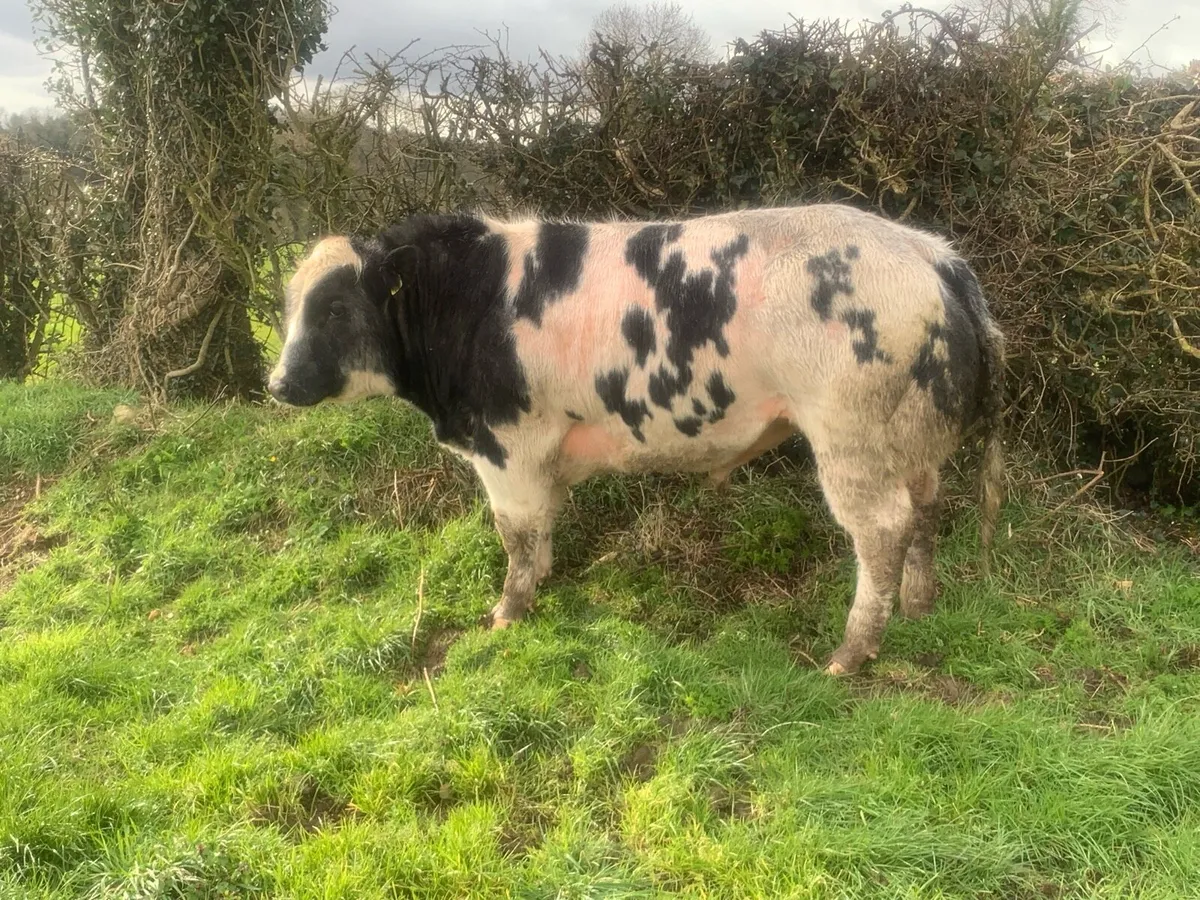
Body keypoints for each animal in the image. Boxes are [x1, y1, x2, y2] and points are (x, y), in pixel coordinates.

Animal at [267, 203, 1005, 675]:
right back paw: (920, 605)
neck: (470, 303)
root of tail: (929, 252)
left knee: (882, 530)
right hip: (912, 435)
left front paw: (508, 610)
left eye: (336, 308)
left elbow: (516, 535)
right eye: (288, 305)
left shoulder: (509, 447)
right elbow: (540, 533)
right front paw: (541, 583)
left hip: (850, 439)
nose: (278, 383)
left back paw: (850, 655)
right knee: (926, 509)